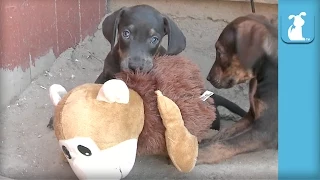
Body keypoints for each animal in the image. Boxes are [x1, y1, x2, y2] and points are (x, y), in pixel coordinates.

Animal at [198, 13, 278, 164]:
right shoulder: (251, 115)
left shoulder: (265, 130)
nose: (208, 78)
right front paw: (205, 142)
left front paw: (198, 154)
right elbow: (225, 133)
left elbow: (226, 143)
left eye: (219, 51)